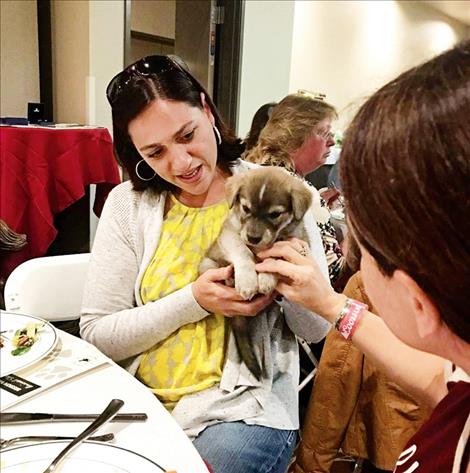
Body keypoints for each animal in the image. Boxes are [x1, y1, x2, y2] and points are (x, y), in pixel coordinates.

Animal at [198, 167, 312, 380]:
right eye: (246, 208)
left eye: (275, 214)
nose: (253, 237)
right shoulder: (230, 234)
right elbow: (243, 251)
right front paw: (247, 281)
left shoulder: (295, 242)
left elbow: (275, 257)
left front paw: (266, 277)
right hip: (207, 265)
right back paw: (231, 277)